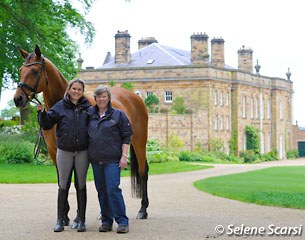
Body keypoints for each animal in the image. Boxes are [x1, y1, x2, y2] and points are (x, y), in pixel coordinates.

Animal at [13, 44, 149, 220]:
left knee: (143, 171)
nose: (18, 99)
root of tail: (136, 98)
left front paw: (75, 217)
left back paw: (143, 210)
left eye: (35, 71)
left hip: (139, 142)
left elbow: (78, 183)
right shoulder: (55, 152)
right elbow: (62, 180)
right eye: (21, 69)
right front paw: (64, 216)